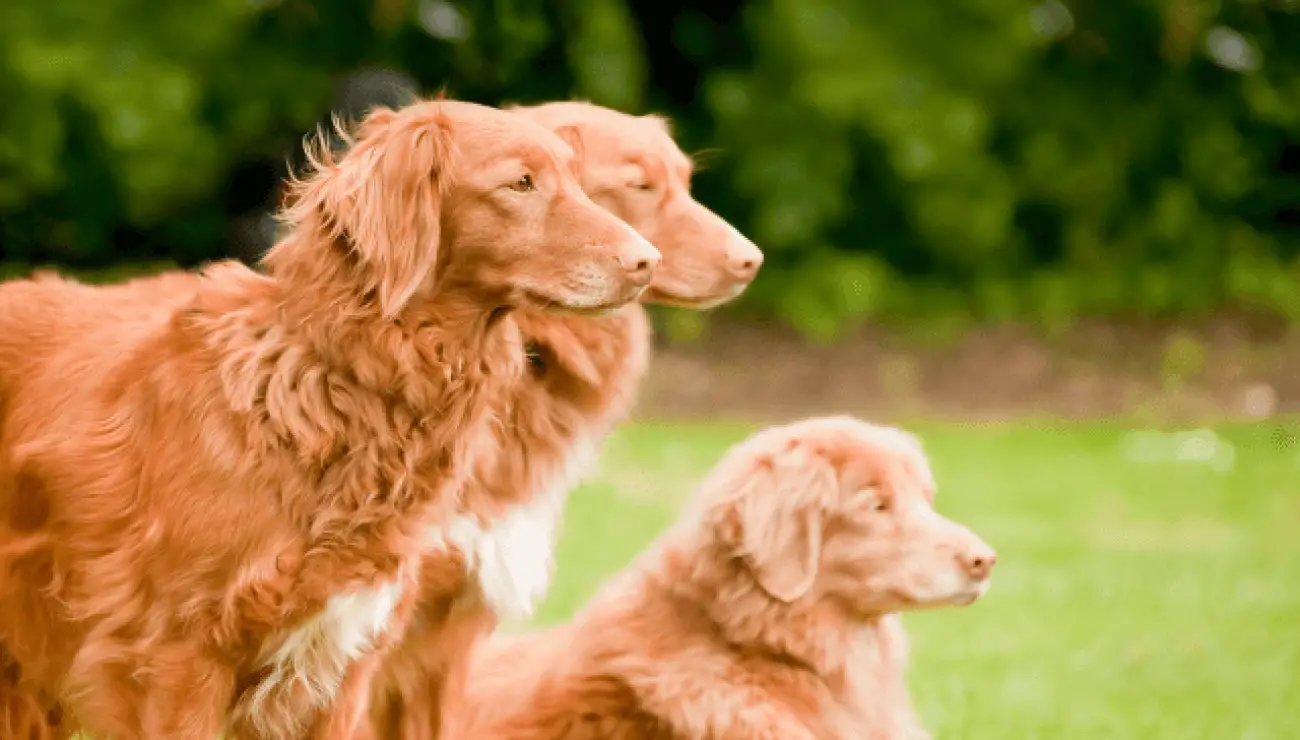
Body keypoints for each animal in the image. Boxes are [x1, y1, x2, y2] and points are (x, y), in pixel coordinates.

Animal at [0, 98, 660, 738]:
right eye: (521, 183)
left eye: (577, 181)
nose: (646, 261)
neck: (339, 386)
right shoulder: (172, 660)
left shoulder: (342, 664)